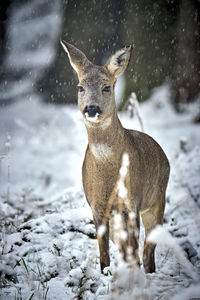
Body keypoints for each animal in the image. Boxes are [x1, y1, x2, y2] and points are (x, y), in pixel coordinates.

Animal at [60, 39, 170, 274]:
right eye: (80, 87)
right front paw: (105, 273)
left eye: (106, 87)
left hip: (157, 200)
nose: (91, 108)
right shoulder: (96, 205)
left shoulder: (133, 201)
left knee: (147, 250)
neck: (108, 174)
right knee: (128, 248)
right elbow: (104, 253)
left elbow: (135, 248)